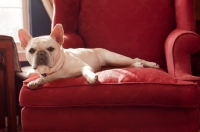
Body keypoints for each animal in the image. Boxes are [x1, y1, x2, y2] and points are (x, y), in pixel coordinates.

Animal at [18, 24, 159, 89]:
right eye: (31, 50)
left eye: (50, 49)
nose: (41, 53)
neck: (56, 69)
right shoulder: (47, 77)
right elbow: (41, 79)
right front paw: (35, 82)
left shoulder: (84, 66)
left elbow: (85, 71)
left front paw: (91, 78)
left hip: (115, 58)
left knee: (135, 59)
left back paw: (149, 64)